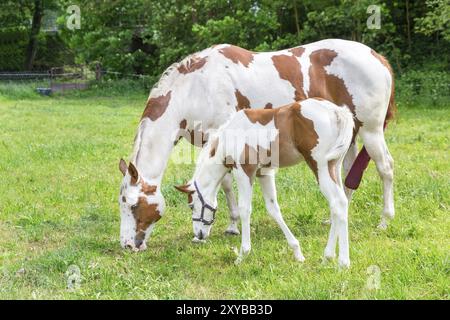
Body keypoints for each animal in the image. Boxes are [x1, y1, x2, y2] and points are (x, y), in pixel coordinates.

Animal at [118, 39, 394, 250]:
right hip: (347, 138)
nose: (128, 245)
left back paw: (384, 220)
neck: (196, 88)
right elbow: (223, 184)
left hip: (371, 131)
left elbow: (225, 183)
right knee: (347, 175)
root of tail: (378, 58)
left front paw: (232, 226)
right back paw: (332, 218)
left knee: (385, 168)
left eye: (133, 205)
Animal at [176, 98, 356, 268]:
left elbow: (245, 209)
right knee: (339, 204)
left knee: (338, 203)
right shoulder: (264, 173)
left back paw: (343, 262)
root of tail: (337, 111)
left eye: (191, 206)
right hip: (334, 166)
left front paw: (242, 255)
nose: (198, 235)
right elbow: (273, 209)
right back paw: (328, 257)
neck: (228, 138)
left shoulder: (244, 172)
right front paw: (297, 252)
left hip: (320, 167)